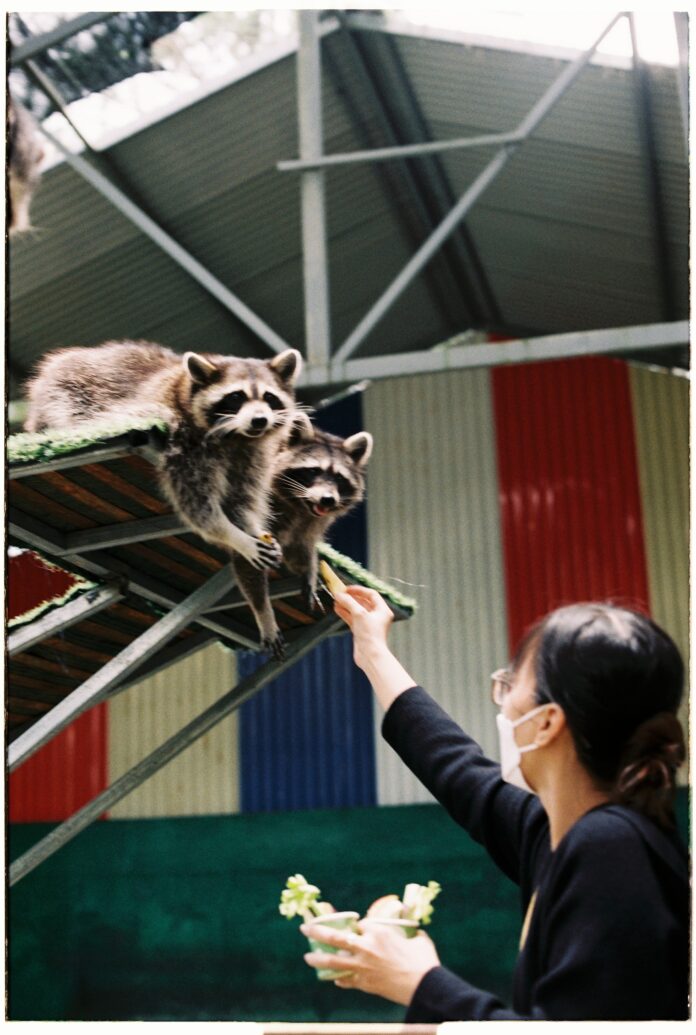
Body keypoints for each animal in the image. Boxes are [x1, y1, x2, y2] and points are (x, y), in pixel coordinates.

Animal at [24, 340, 304, 657]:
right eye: (236, 397)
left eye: (269, 397)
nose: (259, 420)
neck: (237, 436)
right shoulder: (184, 444)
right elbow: (198, 508)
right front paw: (234, 536)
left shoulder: (251, 458)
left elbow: (240, 508)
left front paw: (262, 608)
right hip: (64, 396)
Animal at [270, 415, 373, 609]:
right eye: (313, 471)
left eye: (339, 477)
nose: (328, 499)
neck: (300, 506)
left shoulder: (312, 522)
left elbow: (302, 544)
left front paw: (309, 569)